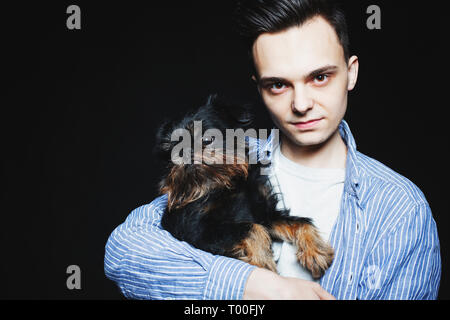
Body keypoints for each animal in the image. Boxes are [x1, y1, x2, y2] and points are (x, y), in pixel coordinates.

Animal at [156, 94, 334, 278]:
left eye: (207, 139)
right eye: (172, 152)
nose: (186, 153)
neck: (227, 185)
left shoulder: (266, 216)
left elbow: (300, 222)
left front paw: (316, 250)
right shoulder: (198, 229)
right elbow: (252, 229)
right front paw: (263, 264)